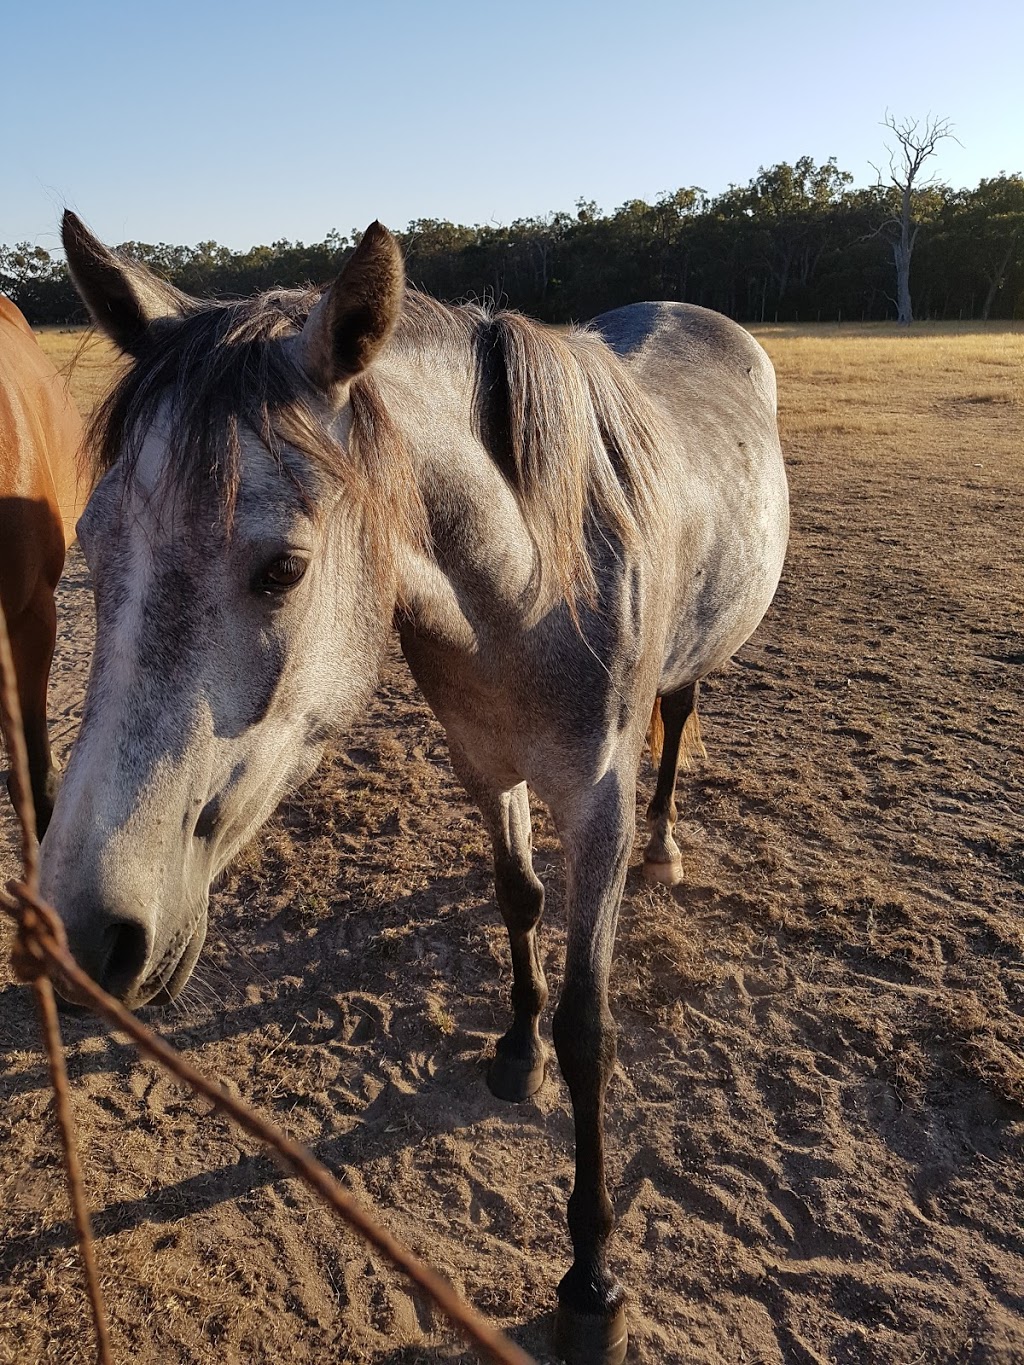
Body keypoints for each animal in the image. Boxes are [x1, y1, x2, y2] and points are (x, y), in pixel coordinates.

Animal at [44, 212, 791, 1365]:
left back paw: (671, 845)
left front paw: (592, 1278)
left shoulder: (598, 806)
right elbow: (517, 901)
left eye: (283, 568)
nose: (81, 931)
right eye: (93, 544)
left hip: (686, 677)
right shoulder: (483, 761)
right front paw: (515, 1052)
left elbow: (590, 1026)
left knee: (682, 712)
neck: (532, 588)